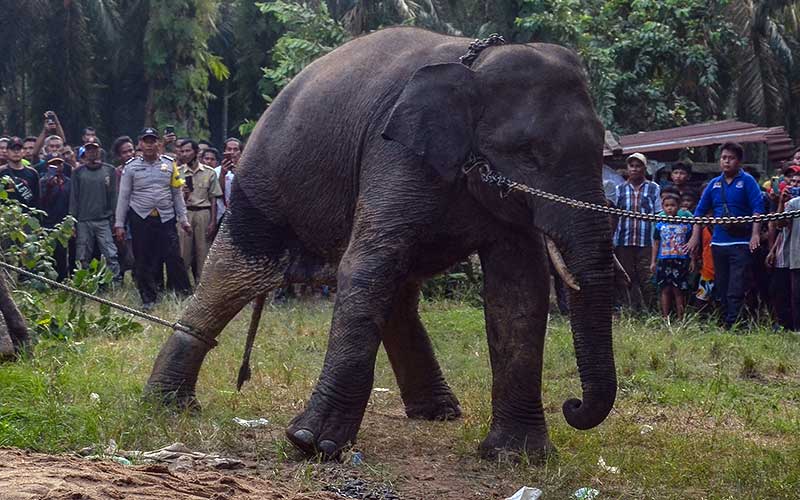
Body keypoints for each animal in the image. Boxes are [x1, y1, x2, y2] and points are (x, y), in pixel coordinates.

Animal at [145, 26, 620, 460]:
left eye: (601, 148)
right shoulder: (393, 152)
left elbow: (519, 289)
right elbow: (366, 265)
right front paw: (312, 445)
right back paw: (168, 404)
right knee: (237, 274)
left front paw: (518, 457)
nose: (572, 405)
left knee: (396, 287)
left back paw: (438, 413)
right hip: (263, 179)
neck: (476, 64)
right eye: (528, 153)